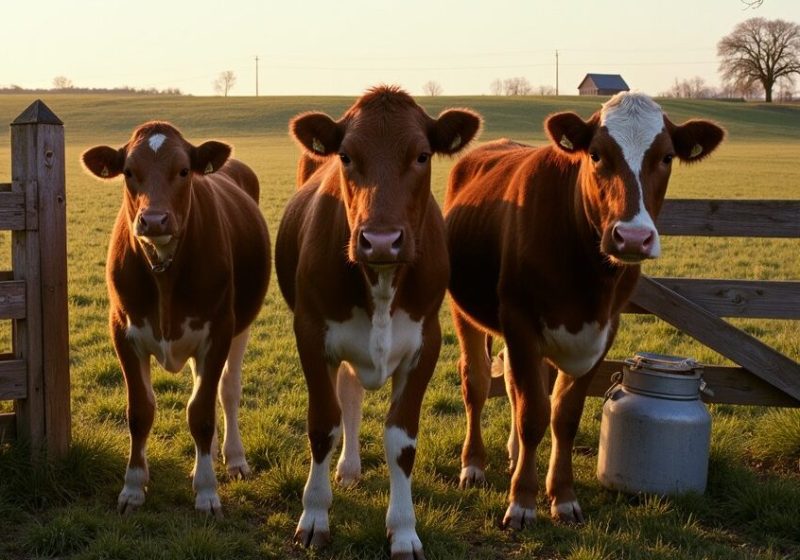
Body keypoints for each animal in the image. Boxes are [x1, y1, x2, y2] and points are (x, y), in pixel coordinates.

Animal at [81, 122, 270, 518]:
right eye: (128, 171)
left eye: (184, 171)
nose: (154, 220)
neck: (164, 273)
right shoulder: (123, 331)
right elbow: (140, 411)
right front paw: (133, 487)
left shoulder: (218, 331)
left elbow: (201, 413)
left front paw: (207, 492)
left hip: (241, 326)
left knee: (226, 391)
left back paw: (232, 458)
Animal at [275, 85, 481, 559]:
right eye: (346, 156)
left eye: (422, 155)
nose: (381, 240)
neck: (383, 282)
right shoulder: (311, 334)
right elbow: (324, 424)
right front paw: (314, 516)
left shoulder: (426, 343)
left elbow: (401, 440)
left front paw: (404, 529)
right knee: (347, 397)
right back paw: (348, 469)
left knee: (352, 392)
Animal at [444, 92, 724, 528]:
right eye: (595, 154)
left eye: (666, 157)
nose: (633, 237)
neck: (588, 278)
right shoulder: (520, 320)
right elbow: (533, 414)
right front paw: (522, 502)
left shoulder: (604, 328)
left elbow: (563, 415)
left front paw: (562, 496)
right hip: (465, 311)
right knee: (476, 381)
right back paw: (473, 466)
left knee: (515, 388)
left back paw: (512, 454)